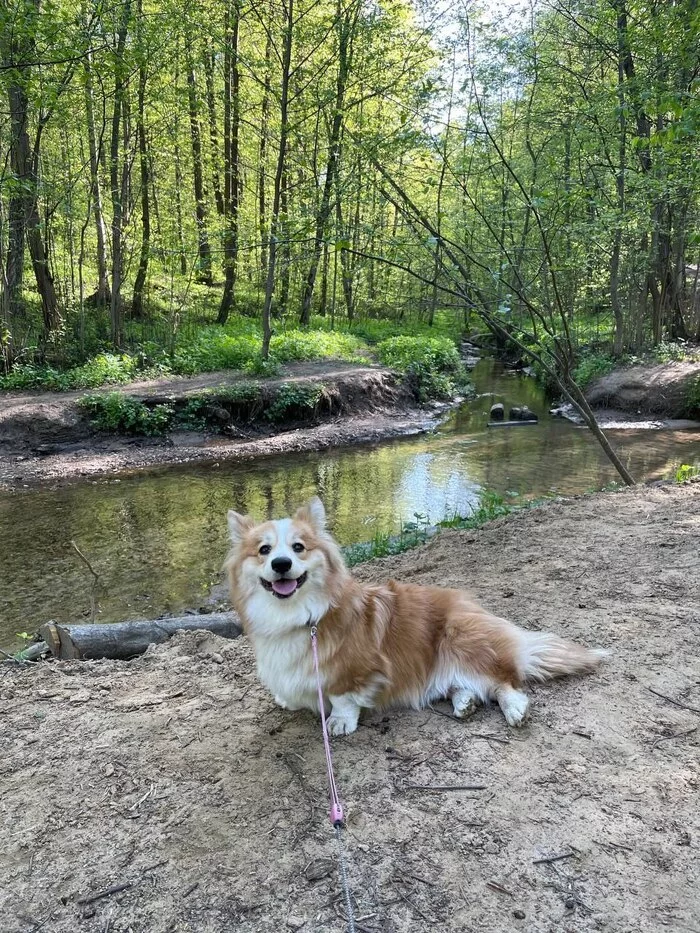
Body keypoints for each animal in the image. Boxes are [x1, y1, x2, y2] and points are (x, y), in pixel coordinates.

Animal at [224, 496, 600, 736]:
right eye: (264, 550)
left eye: (298, 547)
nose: (281, 564)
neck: (297, 615)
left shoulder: (355, 672)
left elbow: (342, 697)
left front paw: (340, 722)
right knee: (464, 686)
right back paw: (464, 703)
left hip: (460, 638)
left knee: (503, 682)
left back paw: (514, 709)